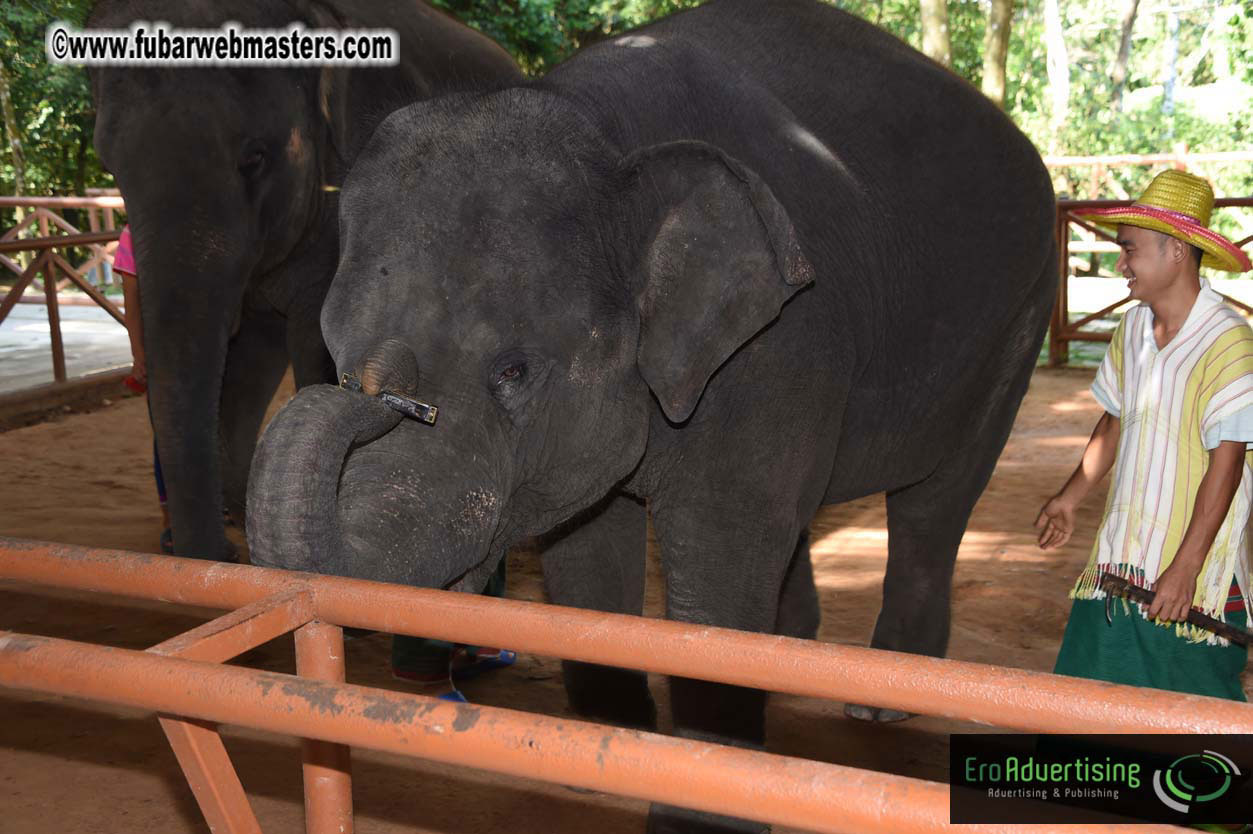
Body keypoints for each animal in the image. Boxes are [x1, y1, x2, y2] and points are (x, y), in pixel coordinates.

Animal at [248, 0, 1056, 830]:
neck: (607, 131)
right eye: (338, 356)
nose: (378, 395)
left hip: (1019, 313)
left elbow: (721, 551)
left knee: (937, 497)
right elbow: (586, 545)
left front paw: (703, 796)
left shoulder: (783, 342)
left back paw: (881, 701)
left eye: (512, 372)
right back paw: (792, 650)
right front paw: (608, 751)